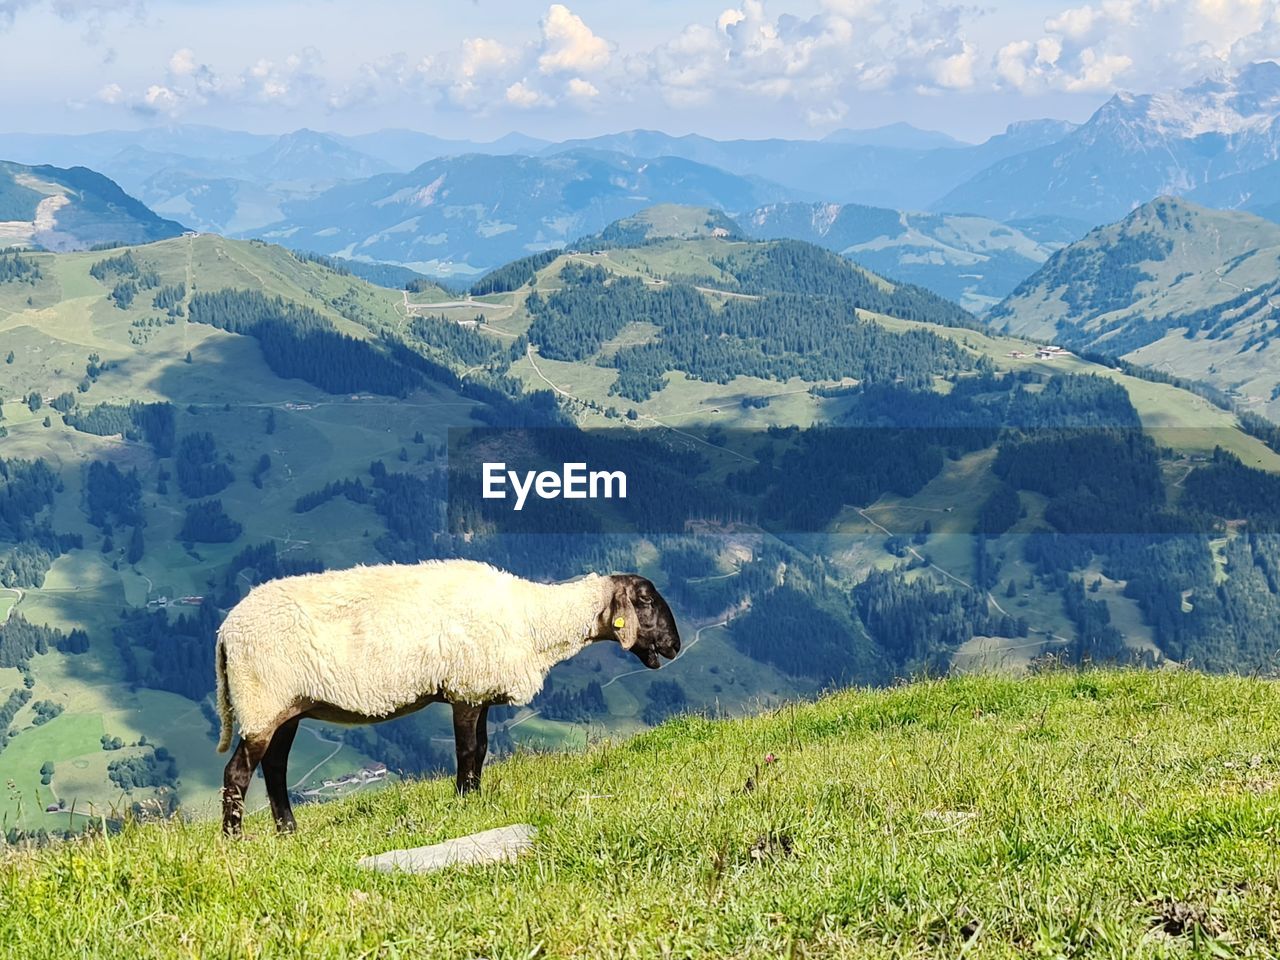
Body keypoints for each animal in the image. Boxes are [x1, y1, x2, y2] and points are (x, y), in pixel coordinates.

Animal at [215, 560, 686, 839]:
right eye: (646, 600)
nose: (675, 646)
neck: (534, 621)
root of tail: (226, 630)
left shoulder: (480, 691)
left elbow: (483, 748)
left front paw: (474, 798)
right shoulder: (466, 688)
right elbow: (468, 750)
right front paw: (464, 802)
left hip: (285, 706)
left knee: (274, 769)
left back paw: (288, 831)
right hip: (261, 698)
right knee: (238, 773)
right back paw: (234, 839)